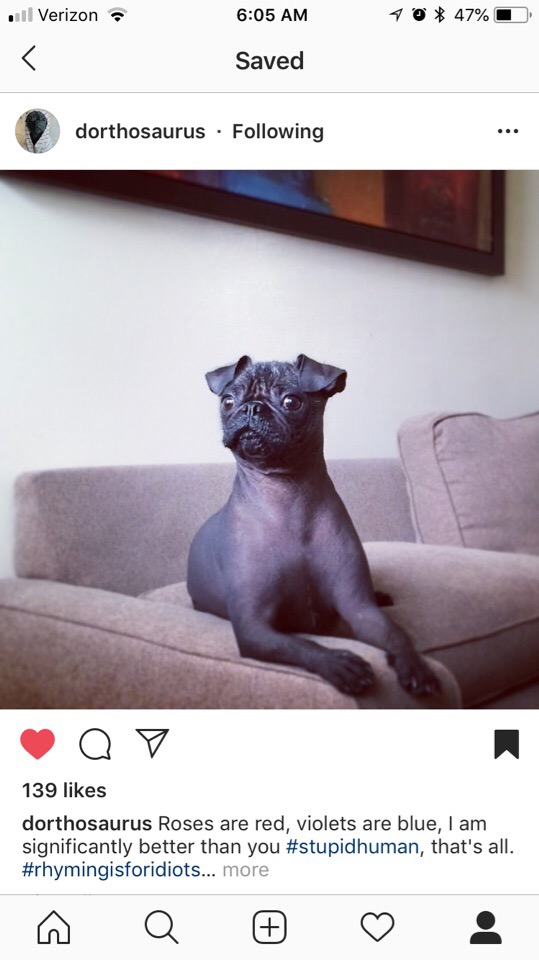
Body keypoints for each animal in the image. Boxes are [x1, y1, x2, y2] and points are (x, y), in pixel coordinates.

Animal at [187, 354, 440, 697]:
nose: (251, 408)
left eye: (292, 401)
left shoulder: (359, 608)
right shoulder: (254, 628)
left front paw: (415, 665)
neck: (286, 501)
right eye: (227, 401)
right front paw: (337, 663)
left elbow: (396, 633)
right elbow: (299, 644)